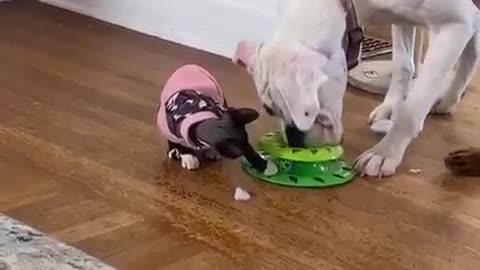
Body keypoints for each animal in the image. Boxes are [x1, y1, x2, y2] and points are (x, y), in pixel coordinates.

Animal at [232, 0, 480, 178]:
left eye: (309, 113)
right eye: (270, 110)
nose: (294, 142)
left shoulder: (455, 25)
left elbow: (414, 106)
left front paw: (385, 152)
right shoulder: (402, 20)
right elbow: (403, 66)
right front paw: (391, 107)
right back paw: (448, 100)